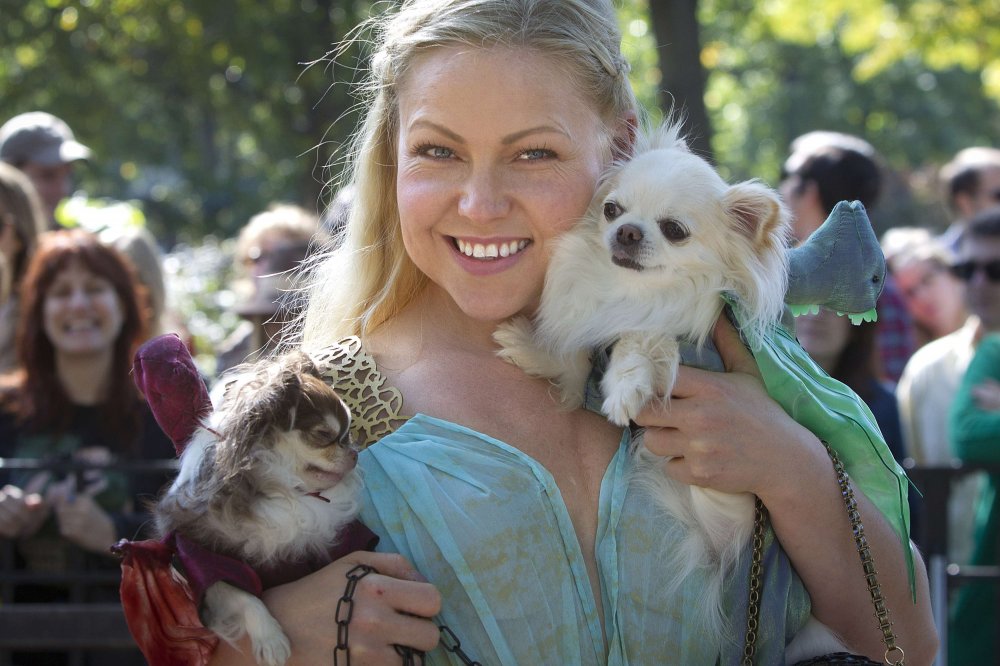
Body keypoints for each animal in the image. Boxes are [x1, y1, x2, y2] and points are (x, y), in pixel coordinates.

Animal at [154, 350, 362, 660]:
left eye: (347, 435)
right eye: (323, 435)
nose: (354, 453)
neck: (285, 491)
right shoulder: (208, 565)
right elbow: (245, 596)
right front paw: (272, 640)